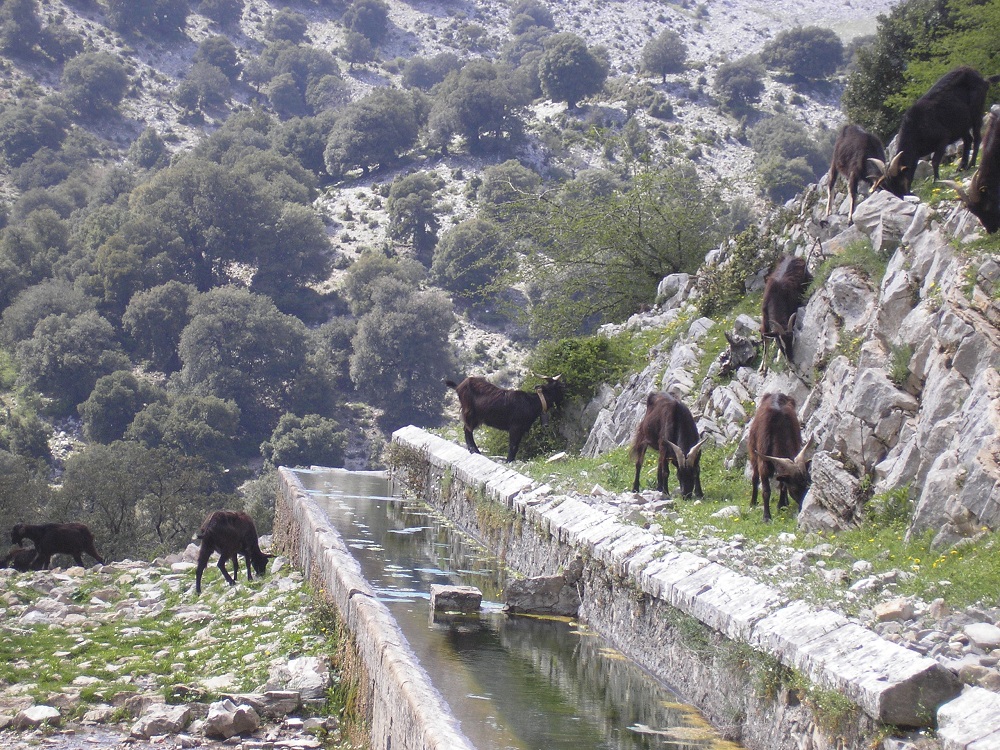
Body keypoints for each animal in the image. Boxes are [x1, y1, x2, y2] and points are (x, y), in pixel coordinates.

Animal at [748, 394, 808, 524]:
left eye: (807, 484)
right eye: (794, 488)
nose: (801, 508)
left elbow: (783, 485)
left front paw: (781, 505)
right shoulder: (763, 463)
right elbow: (766, 491)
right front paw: (766, 517)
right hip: (753, 453)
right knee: (755, 477)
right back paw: (752, 503)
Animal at [872, 67, 1000, 197]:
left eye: (898, 180)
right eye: (889, 186)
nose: (902, 195)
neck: (915, 128)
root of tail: (982, 79)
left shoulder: (943, 138)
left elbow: (934, 161)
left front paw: (936, 180)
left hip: (976, 112)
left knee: (977, 138)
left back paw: (971, 164)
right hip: (961, 124)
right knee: (968, 140)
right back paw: (961, 167)